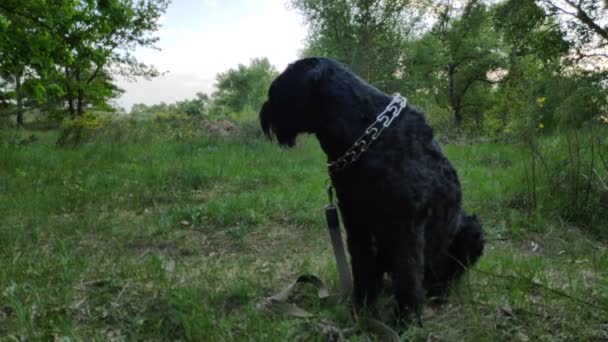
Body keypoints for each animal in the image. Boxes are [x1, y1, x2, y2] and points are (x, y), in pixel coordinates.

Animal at [262, 58, 484, 318]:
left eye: (277, 90)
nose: (264, 112)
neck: (365, 137)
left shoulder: (406, 225)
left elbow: (408, 273)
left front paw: (405, 318)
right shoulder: (355, 221)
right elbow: (362, 267)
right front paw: (362, 309)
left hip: (471, 231)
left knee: (443, 275)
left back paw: (438, 293)